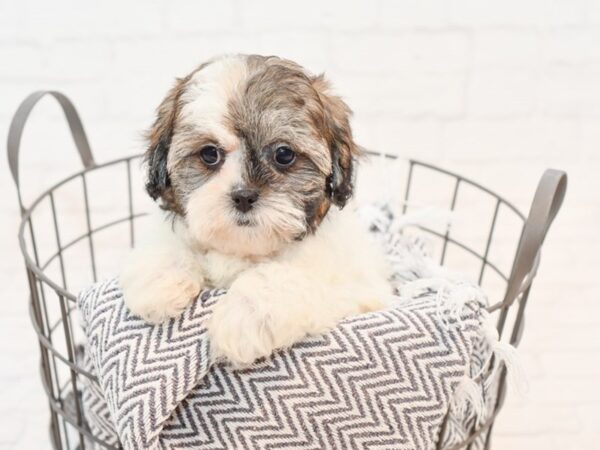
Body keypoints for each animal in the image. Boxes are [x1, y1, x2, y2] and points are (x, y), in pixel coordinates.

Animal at [122, 54, 394, 368]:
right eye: (209, 154)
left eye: (284, 155)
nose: (243, 196)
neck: (244, 251)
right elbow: (167, 241)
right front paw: (160, 280)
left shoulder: (360, 287)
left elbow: (287, 276)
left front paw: (244, 316)